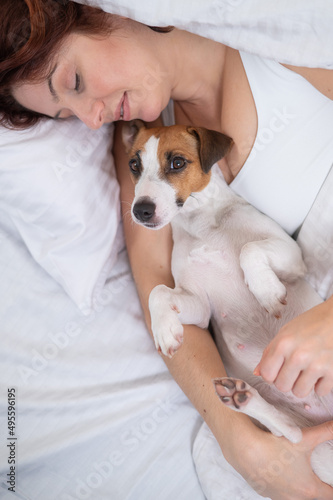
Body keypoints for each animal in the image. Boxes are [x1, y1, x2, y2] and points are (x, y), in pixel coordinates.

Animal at [121, 119, 332, 486]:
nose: (140, 210)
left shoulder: (292, 255)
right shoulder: (199, 305)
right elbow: (158, 291)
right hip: (311, 444)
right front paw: (165, 329)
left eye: (177, 162)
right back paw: (241, 398)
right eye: (134, 165)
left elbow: (250, 250)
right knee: (291, 434)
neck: (201, 222)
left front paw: (265, 291)